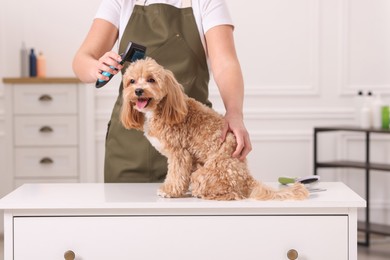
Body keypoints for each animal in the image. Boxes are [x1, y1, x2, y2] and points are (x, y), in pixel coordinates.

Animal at [120, 58, 310, 201]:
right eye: (132, 81)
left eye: (151, 79)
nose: (138, 90)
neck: (163, 108)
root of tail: (246, 177)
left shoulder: (179, 153)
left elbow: (176, 174)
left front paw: (169, 190)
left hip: (206, 173)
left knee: (233, 194)